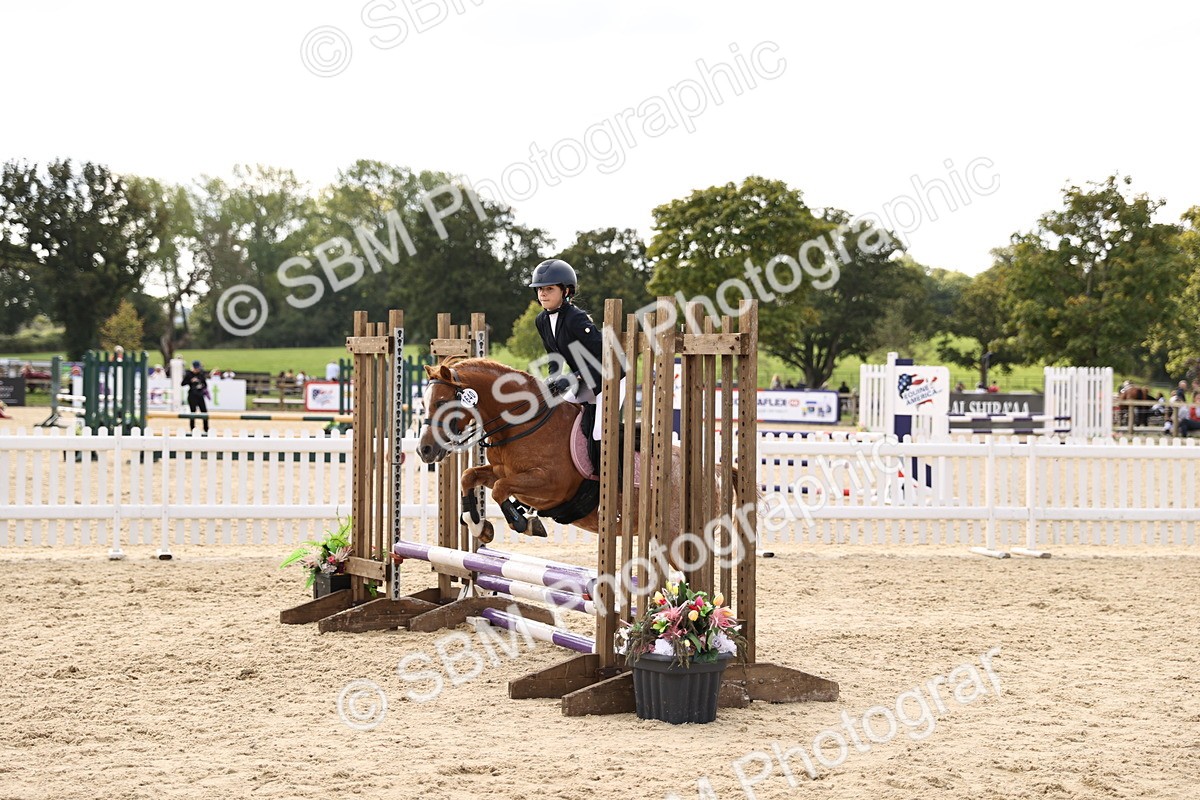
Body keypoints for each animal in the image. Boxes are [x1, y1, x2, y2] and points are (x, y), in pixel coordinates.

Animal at [416, 358, 729, 560]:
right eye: (423, 402)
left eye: (442, 402)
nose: (424, 450)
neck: (523, 422)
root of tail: (713, 470)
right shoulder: (500, 470)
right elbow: (471, 477)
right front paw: (480, 526)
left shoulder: (550, 485)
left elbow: (501, 490)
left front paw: (523, 522)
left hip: (679, 539)